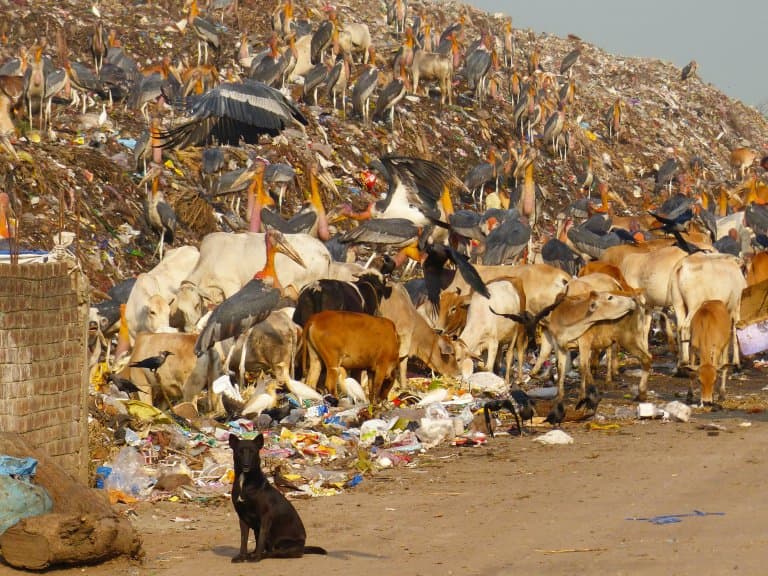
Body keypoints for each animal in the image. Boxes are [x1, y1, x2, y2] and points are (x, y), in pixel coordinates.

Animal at [226, 432, 326, 564]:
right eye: (240, 452)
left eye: (252, 451)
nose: (246, 465)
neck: (245, 481)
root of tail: (303, 547)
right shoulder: (242, 518)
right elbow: (243, 540)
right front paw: (242, 556)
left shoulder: (265, 517)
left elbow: (261, 539)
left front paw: (256, 557)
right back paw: (252, 554)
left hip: (284, 544)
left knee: (273, 552)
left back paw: (259, 555)